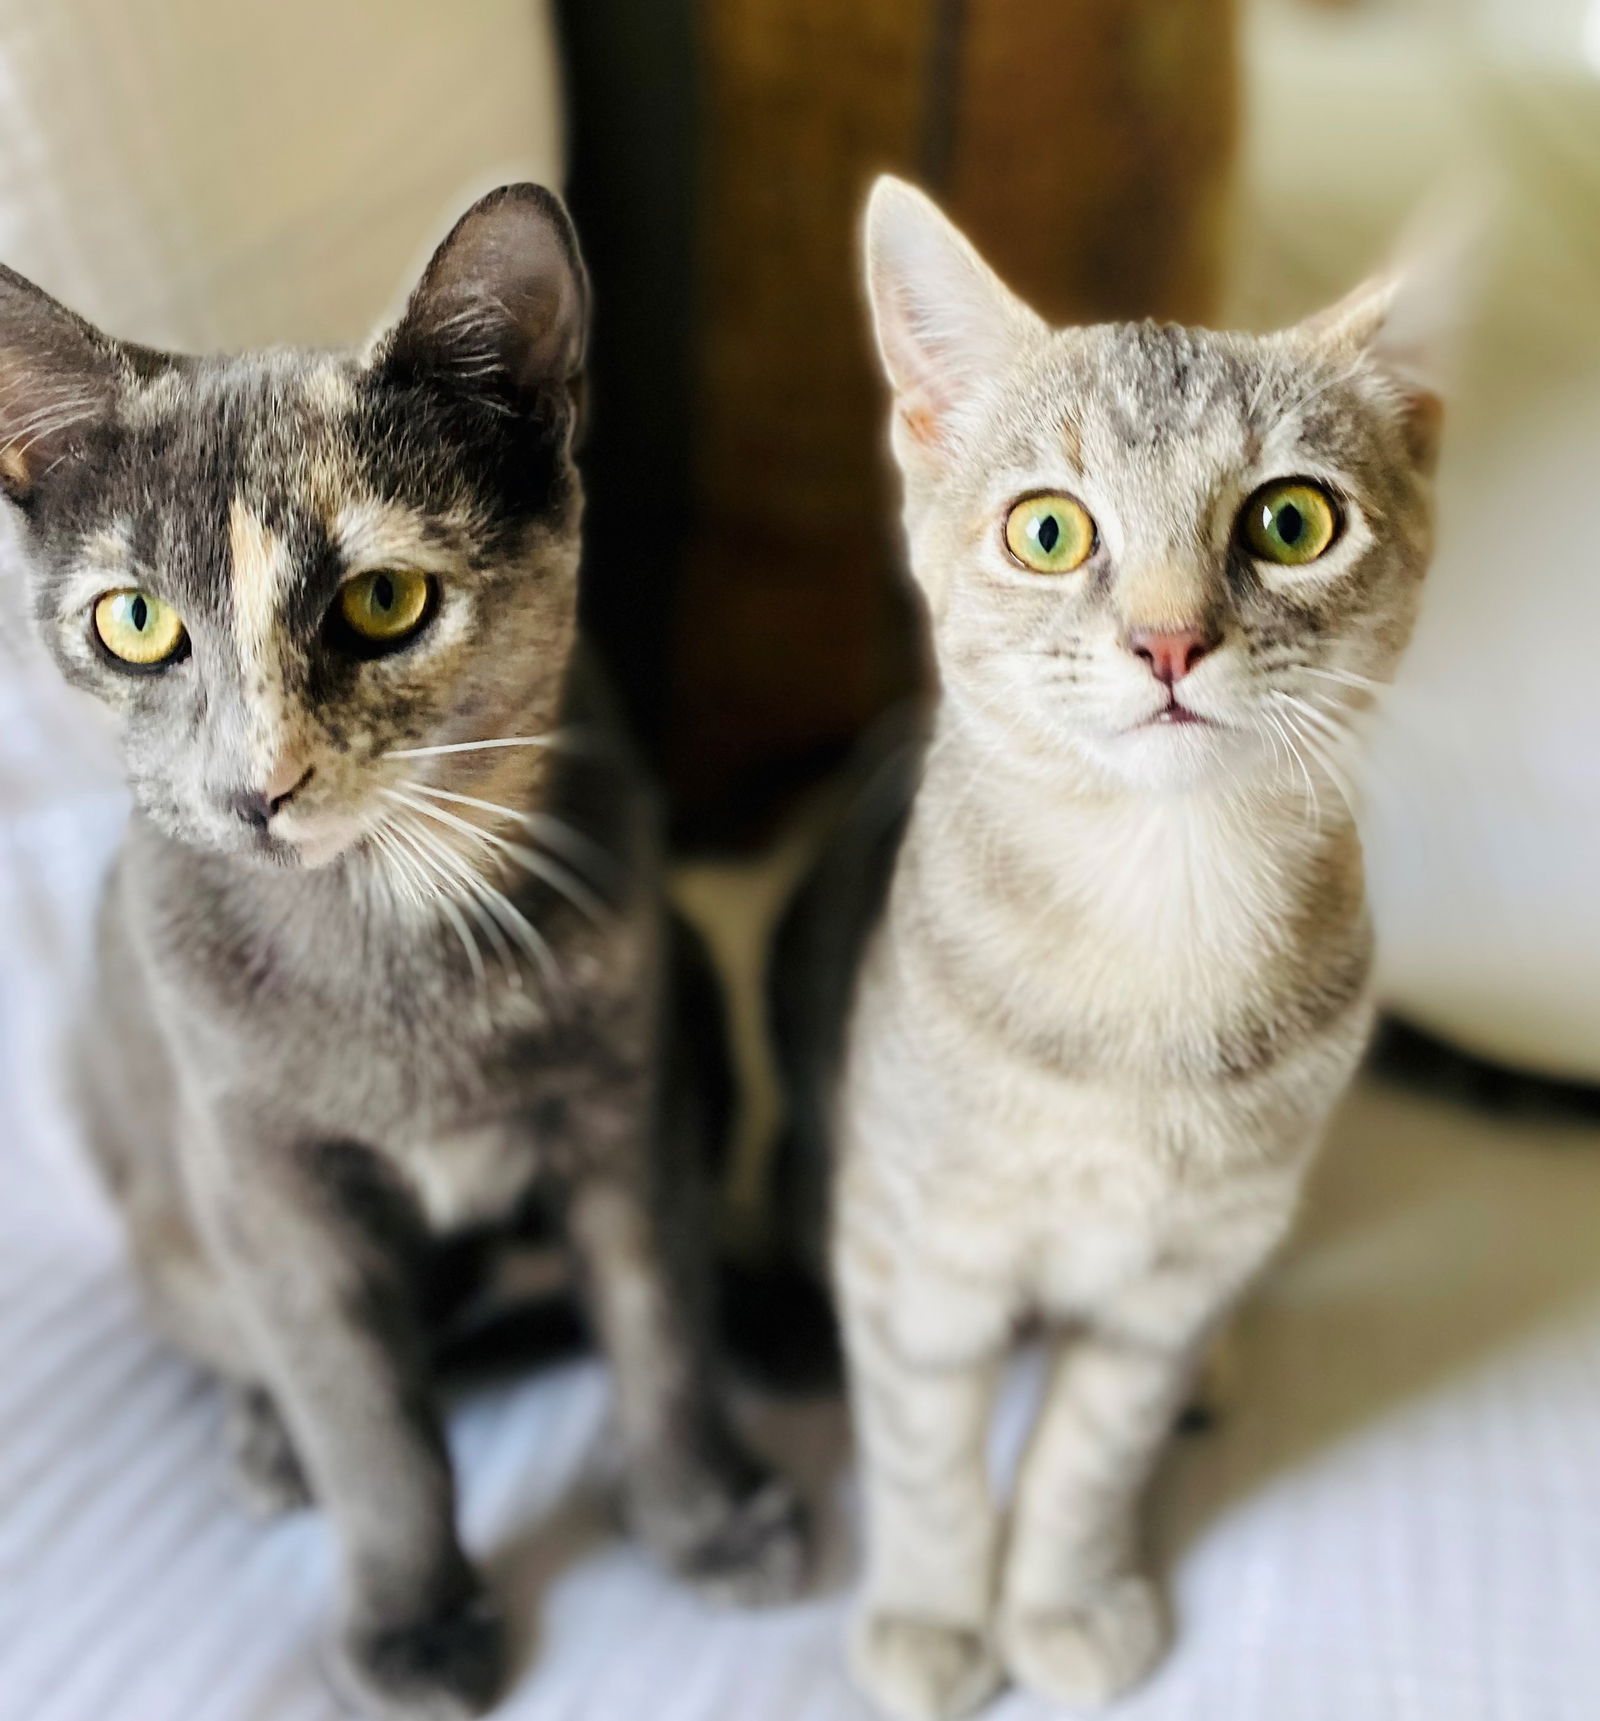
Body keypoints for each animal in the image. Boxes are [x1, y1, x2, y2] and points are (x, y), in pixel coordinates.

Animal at [9, 185, 812, 1721]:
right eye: (135, 622)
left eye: (383, 602)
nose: (255, 785)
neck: (390, 934)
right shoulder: (266, 1174)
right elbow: (362, 1409)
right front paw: (413, 1620)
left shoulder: (628, 1098)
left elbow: (657, 1314)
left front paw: (704, 1513)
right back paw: (266, 1439)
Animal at [774, 178, 1445, 1721]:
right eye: (1049, 533)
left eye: (1292, 519)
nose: (1168, 641)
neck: (1157, 923)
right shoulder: (918, 1253)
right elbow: (924, 1455)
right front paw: (933, 1609)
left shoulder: (1171, 1282)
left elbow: (1090, 1453)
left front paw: (1062, 1598)